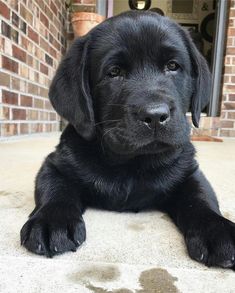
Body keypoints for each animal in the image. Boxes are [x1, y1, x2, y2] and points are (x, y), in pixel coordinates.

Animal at [20, 10, 235, 266]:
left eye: (172, 66)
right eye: (114, 72)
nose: (155, 115)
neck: (130, 163)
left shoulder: (189, 172)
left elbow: (201, 197)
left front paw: (217, 230)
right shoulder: (54, 164)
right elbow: (54, 188)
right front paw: (52, 221)